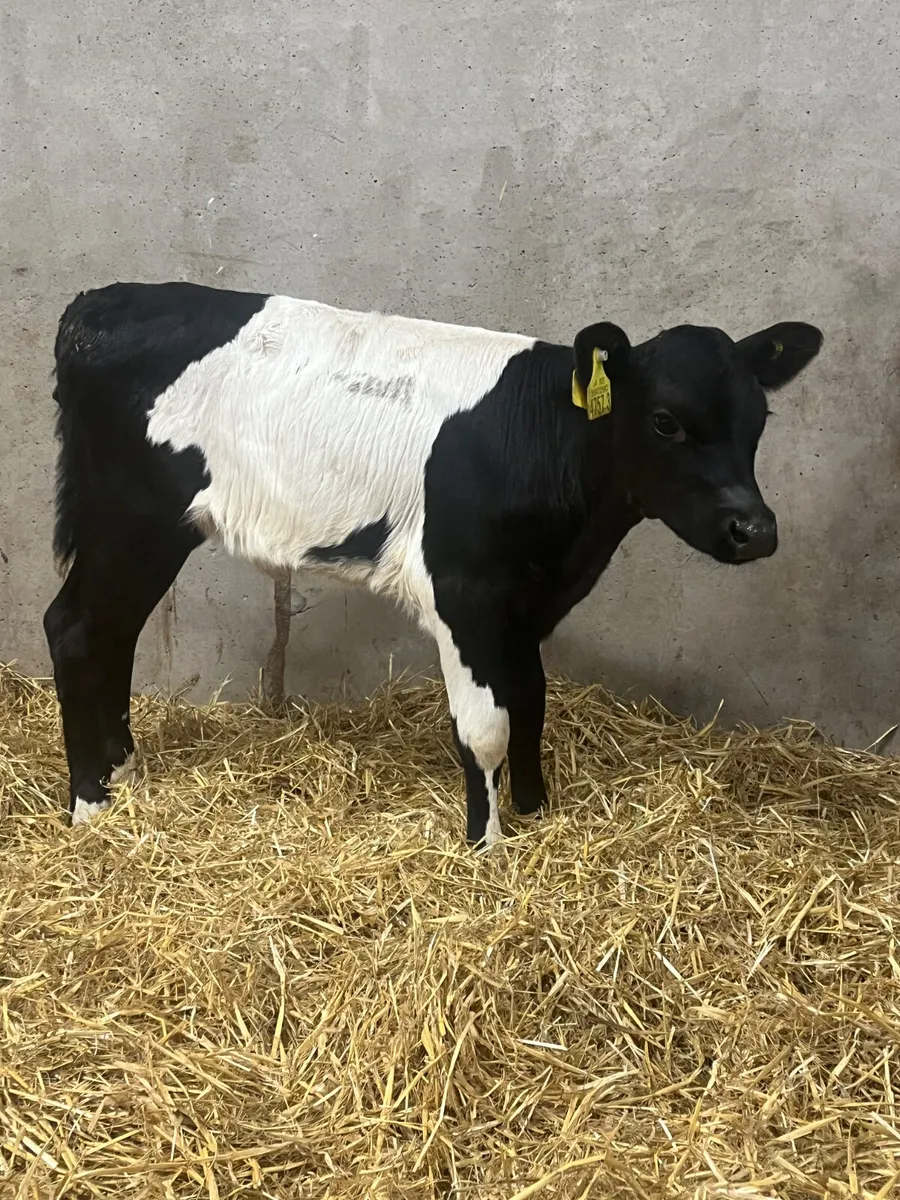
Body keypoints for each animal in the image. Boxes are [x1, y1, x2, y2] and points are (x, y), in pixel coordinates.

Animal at [42, 282, 822, 844]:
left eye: (759, 418)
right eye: (665, 421)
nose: (754, 530)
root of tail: (99, 302)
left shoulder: (529, 599)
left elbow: (531, 698)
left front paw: (535, 812)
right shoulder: (463, 588)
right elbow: (484, 726)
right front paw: (487, 844)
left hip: (153, 532)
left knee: (114, 632)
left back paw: (125, 772)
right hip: (130, 518)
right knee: (75, 628)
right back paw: (90, 805)